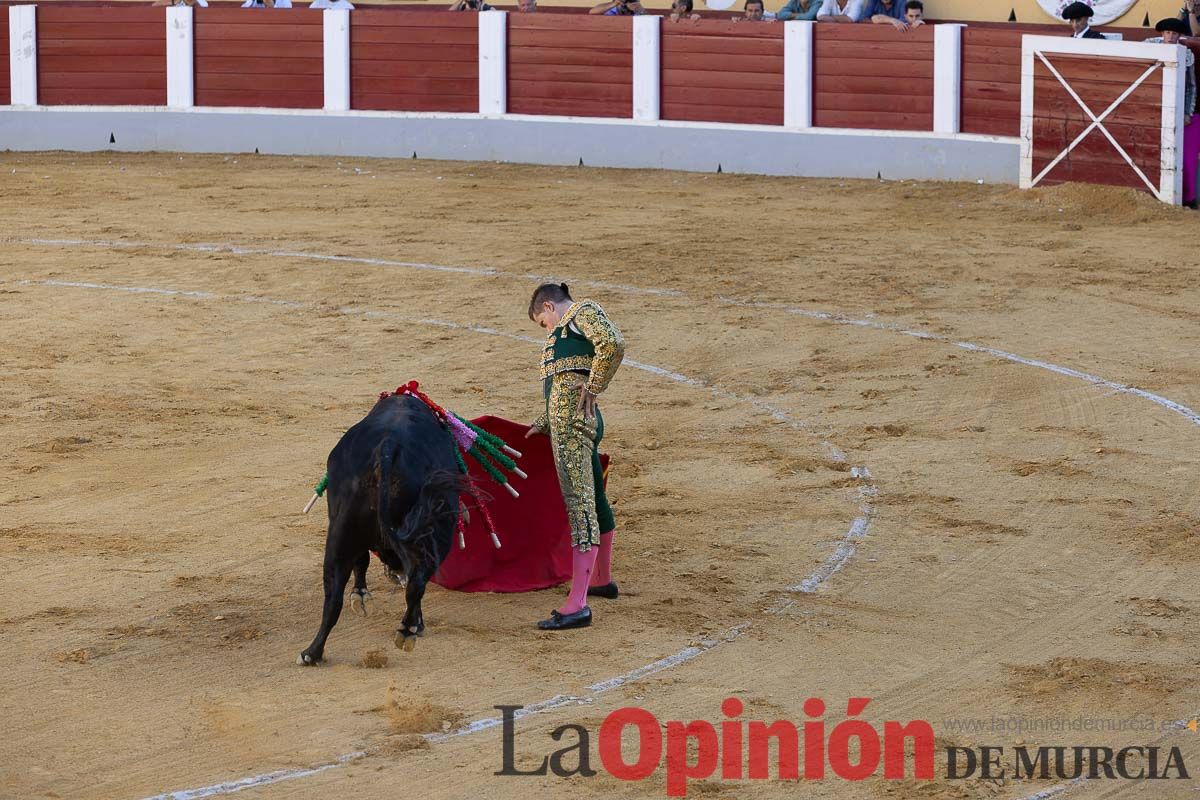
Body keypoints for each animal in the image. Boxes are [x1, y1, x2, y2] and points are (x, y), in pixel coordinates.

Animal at [300, 393, 468, 662]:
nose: (394, 571)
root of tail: (389, 446)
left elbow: (361, 561)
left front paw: (360, 595)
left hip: (340, 532)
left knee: (334, 595)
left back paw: (312, 653)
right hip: (437, 531)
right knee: (417, 580)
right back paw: (408, 630)